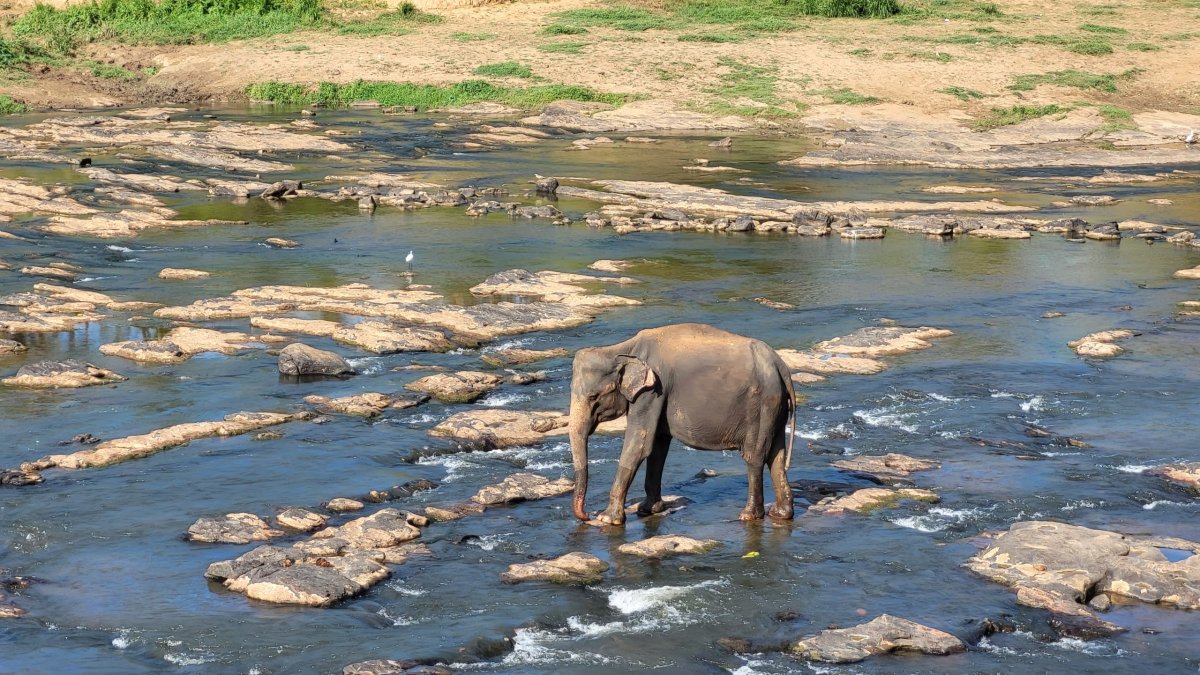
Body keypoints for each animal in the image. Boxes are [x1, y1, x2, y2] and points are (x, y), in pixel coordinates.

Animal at [564, 321, 792, 526]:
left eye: (593, 397)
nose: (587, 516)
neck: (621, 349)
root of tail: (779, 365)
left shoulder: (651, 392)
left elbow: (638, 446)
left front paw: (607, 519)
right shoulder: (657, 396)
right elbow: (657, 448)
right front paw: (648, 509)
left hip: (761, 406)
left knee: (755, 457)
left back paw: (748, 516)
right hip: (775, 408)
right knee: (776, 456)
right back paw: (780, 514)